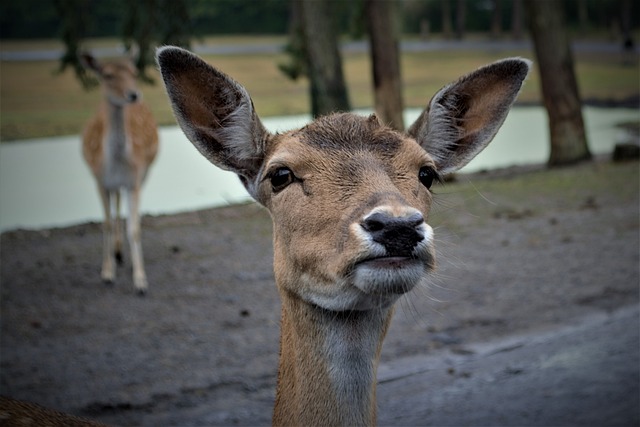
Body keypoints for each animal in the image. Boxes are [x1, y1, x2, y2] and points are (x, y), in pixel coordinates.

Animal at [80, 49, 159, 295]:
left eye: (134, 72)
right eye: (107, 75)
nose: (133, 94)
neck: (116, 163)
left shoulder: (134, 181)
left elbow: (134, 228)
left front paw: (140, 280)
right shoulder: (99, 181)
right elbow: (104, 224)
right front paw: (107, 273)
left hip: (145, 174)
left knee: (123, 207)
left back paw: (125, 256)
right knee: (115, 207)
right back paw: (116, 253)